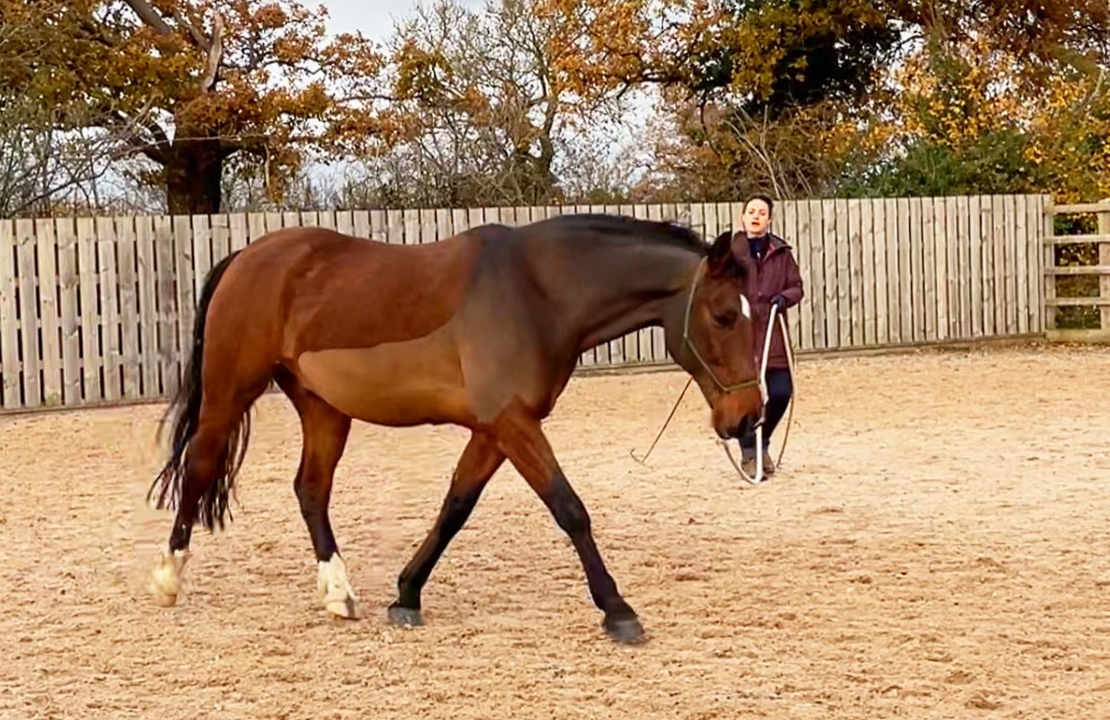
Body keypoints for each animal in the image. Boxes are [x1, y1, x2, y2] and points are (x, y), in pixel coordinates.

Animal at [145, 212, 763, 645]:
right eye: (724, 316)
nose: (748, 417)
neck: (538, 293)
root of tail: (248, 254)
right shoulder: (512, 423)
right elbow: (570, 509)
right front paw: (618, 611)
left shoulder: (495, 429)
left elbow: (455, 507)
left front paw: (407, 596)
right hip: (230, 392)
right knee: (200, 466)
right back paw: (168, 579)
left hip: (323, 408)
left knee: (311, 490)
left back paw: (339, 594)